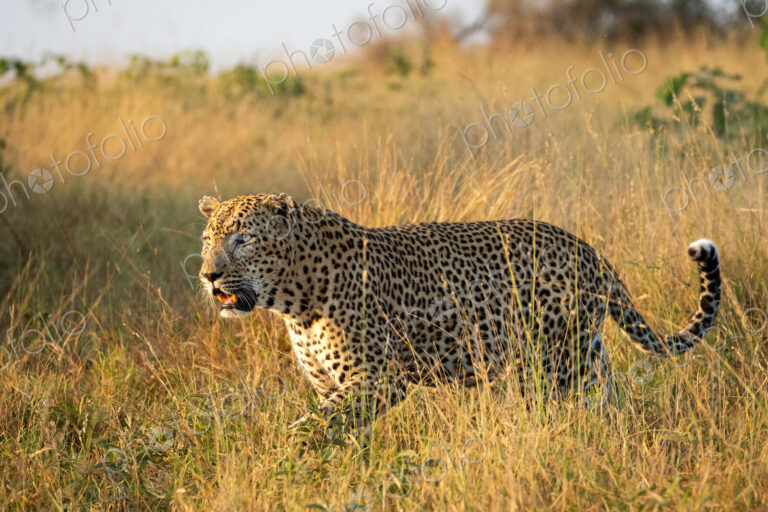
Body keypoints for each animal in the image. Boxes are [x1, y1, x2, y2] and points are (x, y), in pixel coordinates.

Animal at [197, 193, 721, 425]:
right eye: (207, 239)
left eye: (243, 240)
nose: (208, 275)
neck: (293, 301)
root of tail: (588, 249)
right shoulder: (333, 384)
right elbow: (338, 430)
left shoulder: (380, 379)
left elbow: (313, 429)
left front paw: (290, 460)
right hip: (586, 355)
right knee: (608, 400)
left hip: (549, 363)